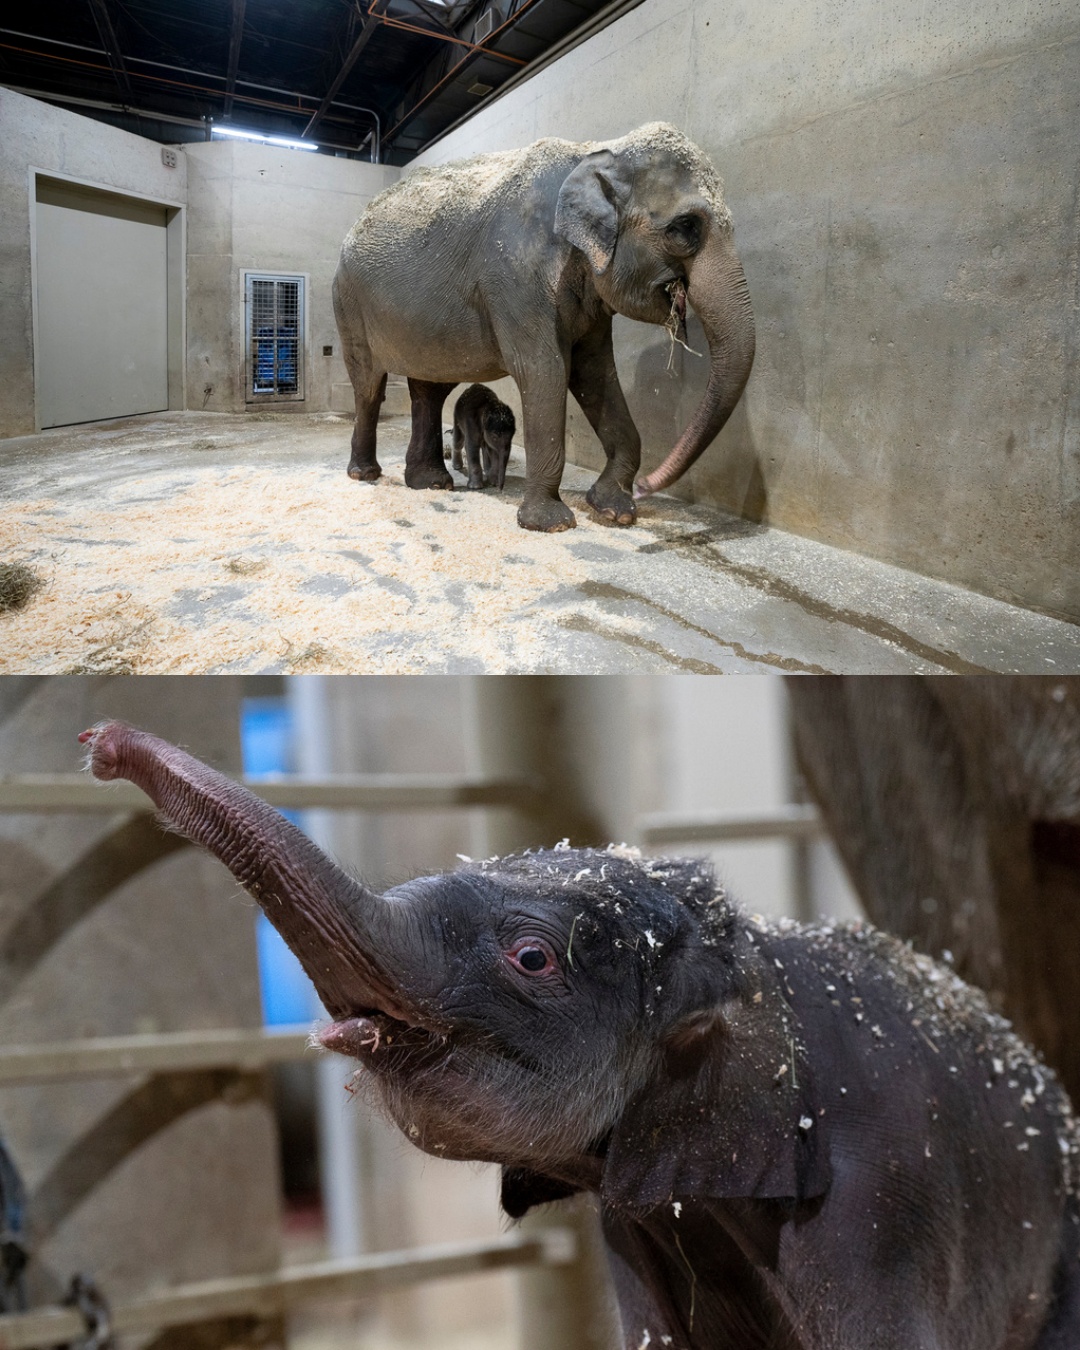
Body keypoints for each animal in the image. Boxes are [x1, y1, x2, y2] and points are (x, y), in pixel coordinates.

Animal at [332, 123, 755, 532]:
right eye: (684, 227)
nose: (645, 487)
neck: (599, 149)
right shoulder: (516, 275)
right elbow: (544, 371)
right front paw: (551, 524)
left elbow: (596, 374)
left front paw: (614, 510)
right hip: (348, 303)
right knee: (369, 386)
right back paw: (365, 474)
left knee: (429, 390)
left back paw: (430, 483)